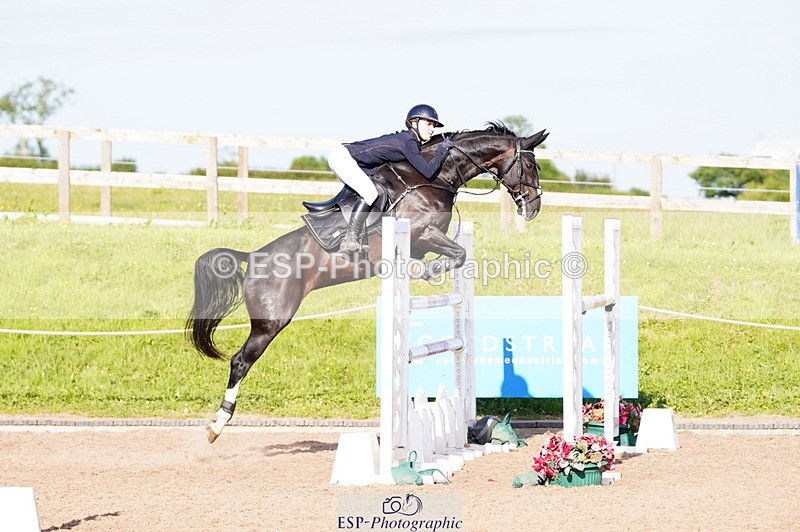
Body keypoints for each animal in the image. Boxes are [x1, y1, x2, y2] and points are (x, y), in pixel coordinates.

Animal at [186, 122, 548, 443]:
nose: (533, 208)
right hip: (271, 320)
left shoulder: (423, 242)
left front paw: (424, 270)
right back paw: (217, 424)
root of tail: (252, 256)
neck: (435, 176)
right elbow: (457, 253)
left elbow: (456, 255)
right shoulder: (421, 234)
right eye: (531, 164)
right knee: (240, 361)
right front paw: (425, 272)